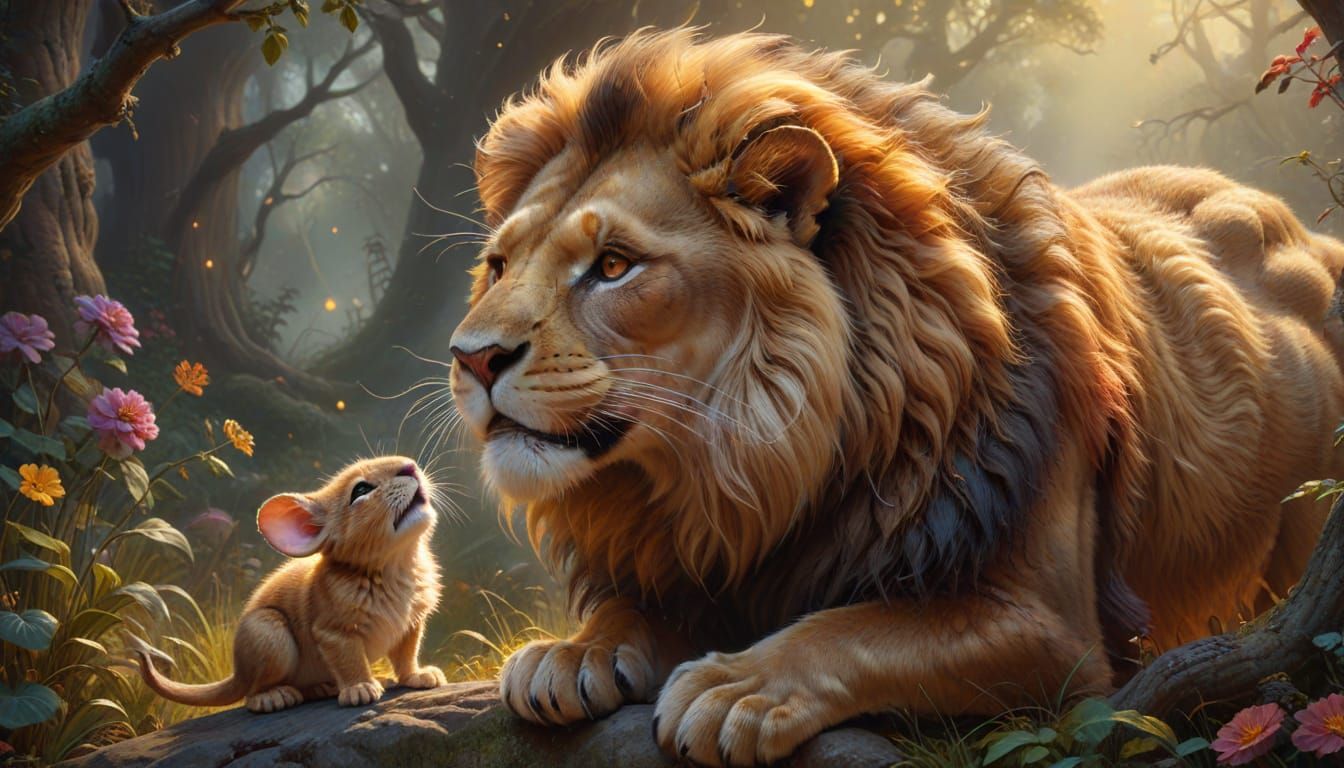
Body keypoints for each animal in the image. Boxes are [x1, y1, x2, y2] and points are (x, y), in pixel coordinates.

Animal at [447, 29, 1344, 766]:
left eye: (613, 266)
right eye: (499, 265)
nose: (472, 359)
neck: (743, 465)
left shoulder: (1058, 632)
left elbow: (864, 627)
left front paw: (738, 688)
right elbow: (636, 611)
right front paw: (571, 653)